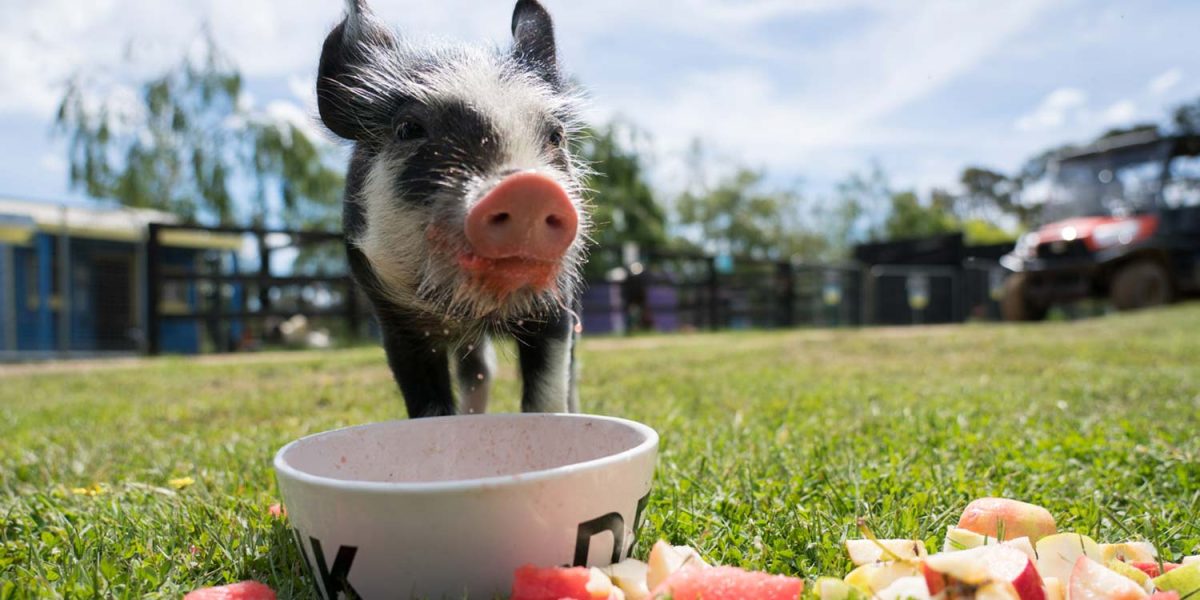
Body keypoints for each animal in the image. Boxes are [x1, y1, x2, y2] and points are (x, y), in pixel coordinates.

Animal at [316, 0, 590, 418]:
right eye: (408, 129)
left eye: (555, 135)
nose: (527, 188)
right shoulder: (395, 317)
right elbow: (429, 407)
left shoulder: (556, 305)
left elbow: (546, 396)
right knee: (479, 368)